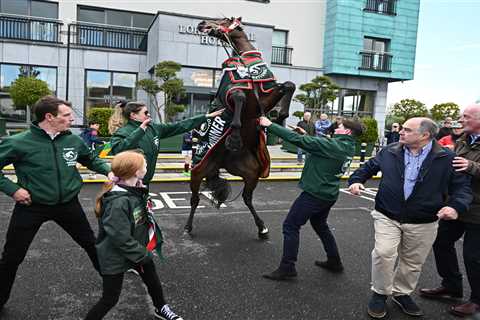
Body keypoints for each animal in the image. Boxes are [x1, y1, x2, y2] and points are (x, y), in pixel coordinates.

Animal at [185, 16, 294, 239]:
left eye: (222, 19)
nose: (201, 24)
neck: (247, 66)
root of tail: (220, 162)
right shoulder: (235, 94)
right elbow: (239, 98)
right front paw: (234, 139)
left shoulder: (264, 98)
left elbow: (289, 85)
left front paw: (281, 115)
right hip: (198, 171)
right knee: (195, 199)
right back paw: (188, 227)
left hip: (250, 172)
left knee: (247, 198)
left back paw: (262, 227)